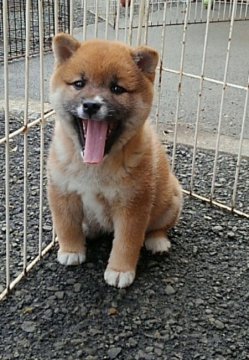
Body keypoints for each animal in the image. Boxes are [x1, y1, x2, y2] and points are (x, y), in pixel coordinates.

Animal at [47, 32, 183, 288]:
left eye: (117, 88)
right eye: (79, 84)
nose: (91, 105)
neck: (94, 166)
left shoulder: (132, 206)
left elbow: (126, 242)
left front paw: (120, 270)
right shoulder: (63, 192)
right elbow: (66, 225)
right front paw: (71, 250)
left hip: (172, 201)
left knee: (159, 228)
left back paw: (157, 241)